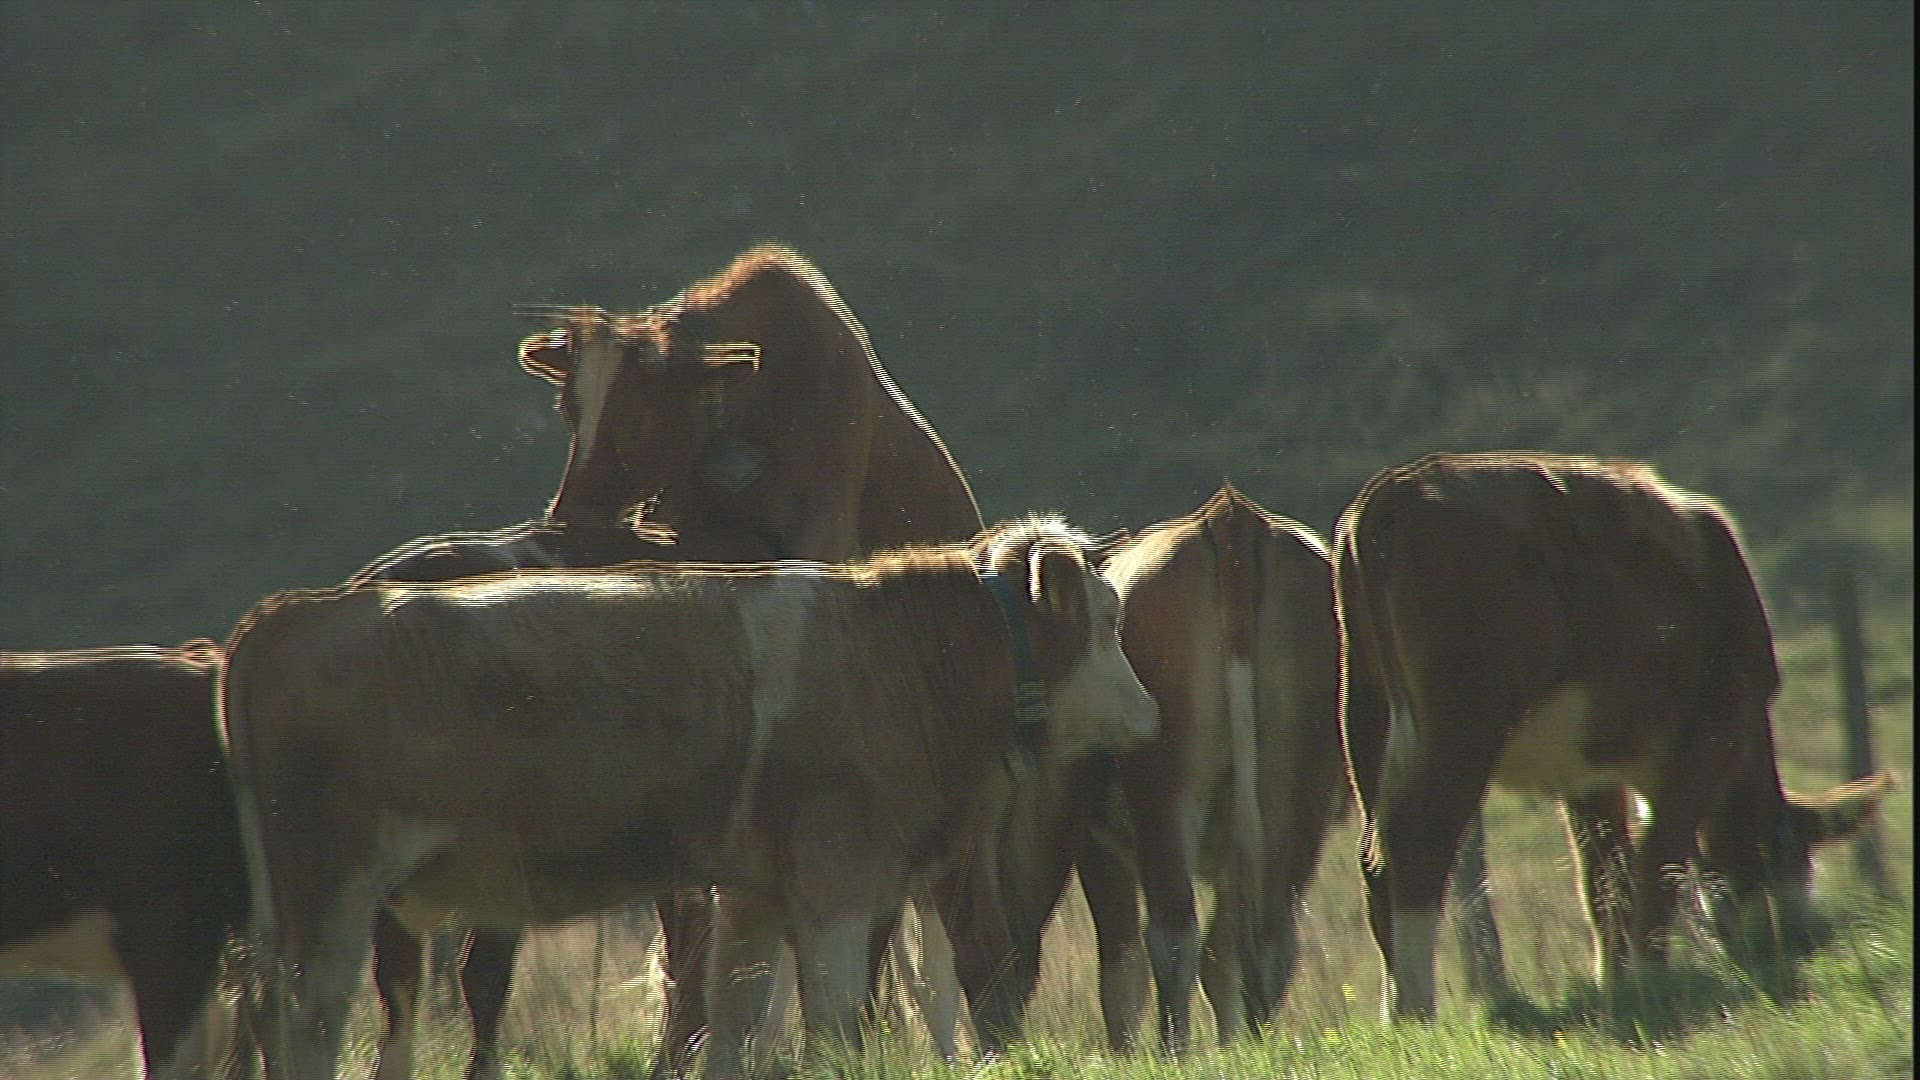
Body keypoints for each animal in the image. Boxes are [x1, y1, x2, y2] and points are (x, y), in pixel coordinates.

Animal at [219, 516, 1159, 1080]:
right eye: (1109, 621)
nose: (1148, 712)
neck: (899, 656)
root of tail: (290, 614)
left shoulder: (754, 896)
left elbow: (735, 1024)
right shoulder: (838, 883)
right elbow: (833, 1021)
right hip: (334, 894)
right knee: (308, 1021)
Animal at [1095, 484, 1347, 1050]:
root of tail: (1230, 515)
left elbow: (1120, 973)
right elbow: (1224, 960)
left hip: (1165, 792)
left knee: (1171, 937)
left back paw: (1175, 1051)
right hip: (1298, 795)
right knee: (1269, 937)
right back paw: (1261, 1048)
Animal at [1333, 452, 1890, 1021]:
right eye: (1793, 860)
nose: (1796, 943)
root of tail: (1397, 486)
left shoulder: (1591, 775)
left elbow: (1607, 880)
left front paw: (1617, 983)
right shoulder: (1710, 734)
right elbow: (1660, 857)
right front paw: (1650, 981)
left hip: (1367, 713)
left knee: (1375, 854)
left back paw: (1396, 1013)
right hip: (1463, 719)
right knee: (1418, 838)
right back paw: (1415, 1009)